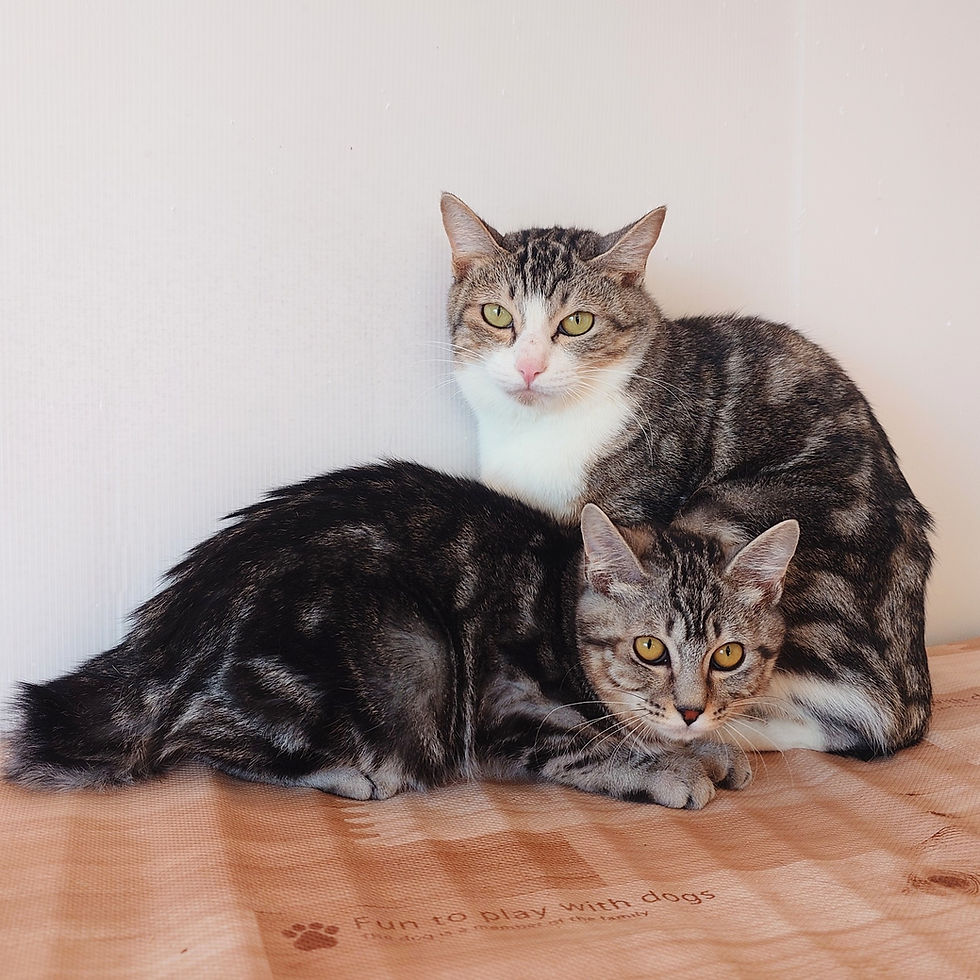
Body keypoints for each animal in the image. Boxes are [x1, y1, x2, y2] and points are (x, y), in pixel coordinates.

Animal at [3, 461, 799, 810]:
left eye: (729, 655)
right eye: (649, 649)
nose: (692, 709)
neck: (559, 602)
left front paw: (709, 746)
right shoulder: (507, 712)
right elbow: (593, 745)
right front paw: (672, 765)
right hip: (412, 648)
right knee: (199, 746)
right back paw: (352, 774)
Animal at [441, 193, 933, 759]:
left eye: (579, 322)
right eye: (497, 314)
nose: (529, 367)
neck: (541, 429)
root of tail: (914, 702)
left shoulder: (632, 506)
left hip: (736, 511)